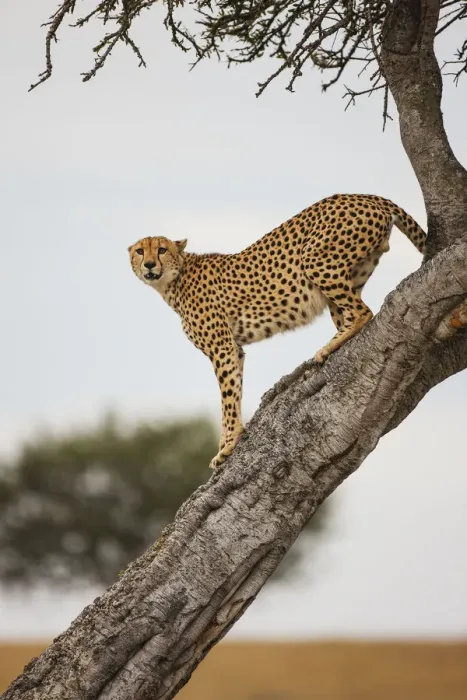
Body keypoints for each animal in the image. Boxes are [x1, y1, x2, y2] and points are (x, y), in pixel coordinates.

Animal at [128, 193, 426, 469]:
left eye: (162, 249)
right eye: (140, 251)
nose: (150, 265)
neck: (173, 281)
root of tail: (362, 195)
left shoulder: (222, 348)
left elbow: (227, 398)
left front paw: (228, 446)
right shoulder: (234, 350)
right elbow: (233, 393)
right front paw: (225, 443)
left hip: (316, 259)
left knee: (362, 311)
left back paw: (325, 349)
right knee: (351, 311)